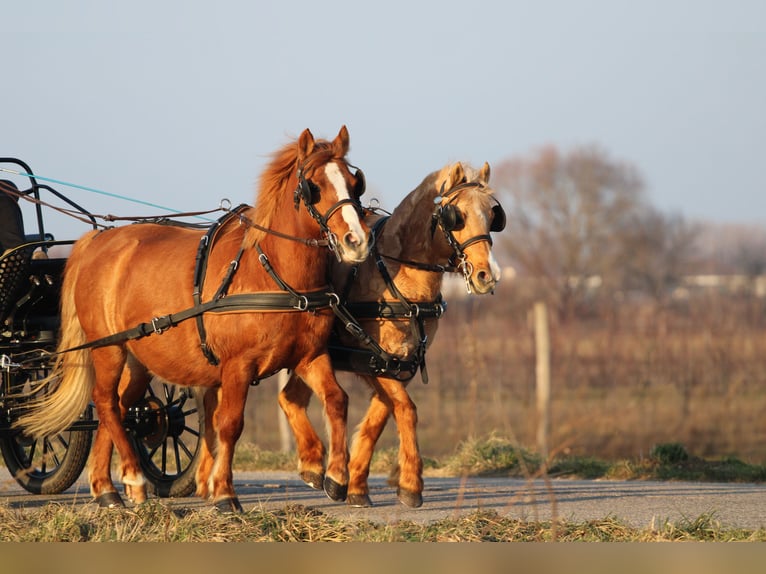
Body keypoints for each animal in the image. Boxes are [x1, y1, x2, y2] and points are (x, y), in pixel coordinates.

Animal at [15, 127, 368, 512]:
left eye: (355, 183)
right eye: (313, 186)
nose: (357, 241)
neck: (271, 271)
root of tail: (98, 240)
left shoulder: (309, 355)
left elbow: (336, 399)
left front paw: (333, 475)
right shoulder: (238, 365)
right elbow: (229, 424)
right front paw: (225, 492)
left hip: (138, 360)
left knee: (119, 407)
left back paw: (107, 487)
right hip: (109, 349)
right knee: (106, 404)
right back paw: (131, 478)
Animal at [280, 162, 508, 508]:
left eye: (492, 216)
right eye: (456, 216)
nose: (487, 275)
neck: (397, 276)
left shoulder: (401, 364)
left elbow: (379, 418)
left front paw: (357, 486)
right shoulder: (374, 360)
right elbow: (407, 410)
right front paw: (411, 483)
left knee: (290, 398)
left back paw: (312, 466)